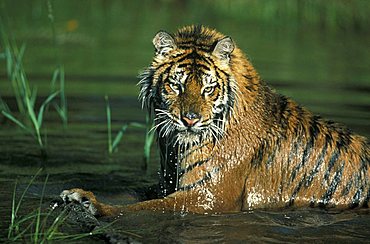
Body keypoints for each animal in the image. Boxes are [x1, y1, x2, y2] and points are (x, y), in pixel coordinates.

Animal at [60, 24, 368, 215]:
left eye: (208, 88)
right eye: (177, 85)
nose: (190, 120)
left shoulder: (209, 196)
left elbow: (141, 208)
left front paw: (92, 205)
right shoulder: (166, 182)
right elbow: (131, 195)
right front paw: (76, 193)